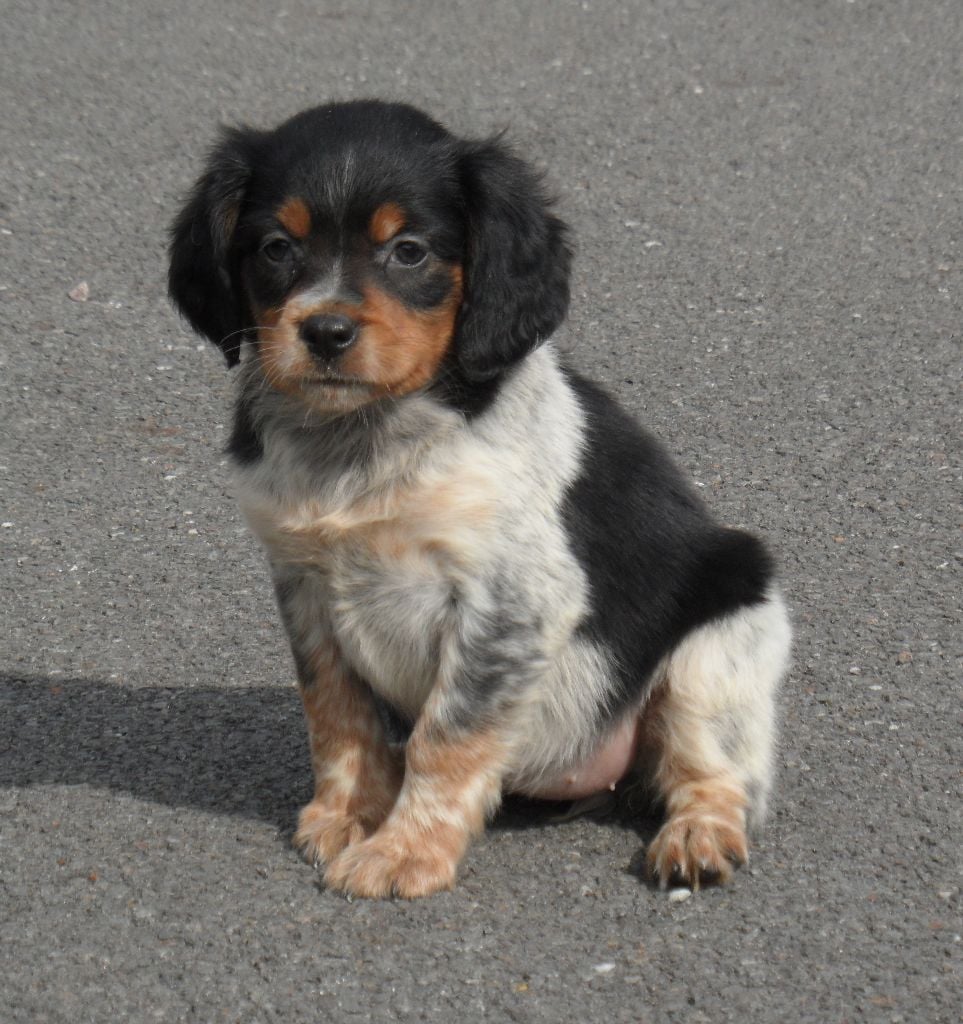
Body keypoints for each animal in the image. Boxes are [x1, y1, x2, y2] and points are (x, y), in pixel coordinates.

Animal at [168, 100, 791, 899]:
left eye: (409, 252)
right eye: (277, 247)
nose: (325, 331)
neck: (365, 439)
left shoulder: (510, 601)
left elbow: (445, 737)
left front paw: (403, 851)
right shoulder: (303, 584)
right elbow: (336, 714)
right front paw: (347, 815)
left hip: (718, 644)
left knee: (714, 772)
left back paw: (696, 838)